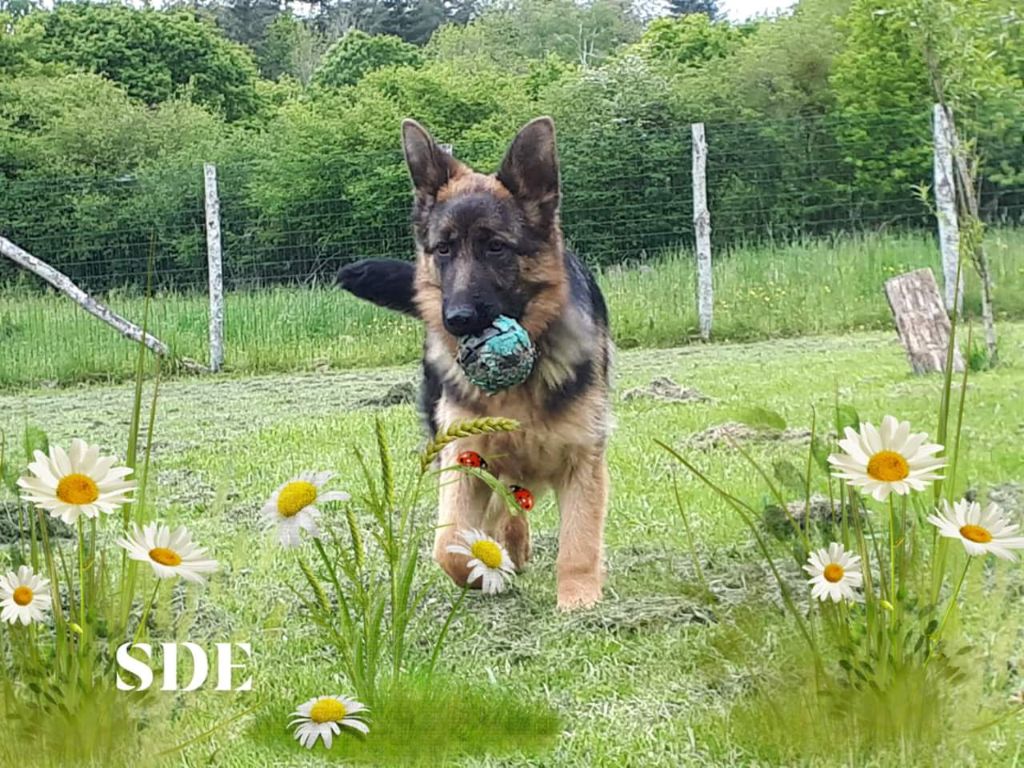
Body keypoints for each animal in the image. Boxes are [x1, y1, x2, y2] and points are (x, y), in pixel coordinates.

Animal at [335, 117, 610, 610]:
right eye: (443, 249)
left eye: (496, 248)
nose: (458, 319)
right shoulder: (463, 456)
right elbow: (449, 546)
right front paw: (486, 571)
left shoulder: (583, 458)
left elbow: (580, 540)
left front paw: (579, 601)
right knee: (504, 507)